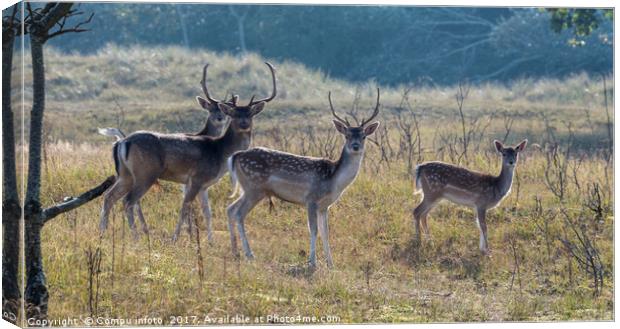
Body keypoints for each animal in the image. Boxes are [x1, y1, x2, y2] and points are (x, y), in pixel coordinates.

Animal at [98, 62, 278, 241]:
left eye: (251, 114)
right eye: (233, 114)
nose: (243, 123)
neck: (220, 153)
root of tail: (123, 142)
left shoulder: (204, 185)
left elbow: (207, 211)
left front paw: (209, 241)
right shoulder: (196, 178)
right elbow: (185, 208)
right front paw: (177, 238)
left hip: (125, 174)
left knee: (109, 196)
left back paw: (103, 233)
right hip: (145, 173)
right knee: (128, 201)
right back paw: (136, 237)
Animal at [225, 88, 380, 268]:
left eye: (363, 136)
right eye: (347, 135)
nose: (355, 146)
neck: (334, 181)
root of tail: (236, 156)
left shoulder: (325, 206)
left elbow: (326, 232)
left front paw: (331, 264)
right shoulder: (311, 198)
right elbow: (313, 230)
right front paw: (313, 262)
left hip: (249, 189)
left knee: (230, 208)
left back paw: (235, 252)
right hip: (254, 188)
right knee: (239, 214)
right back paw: (249, 254)